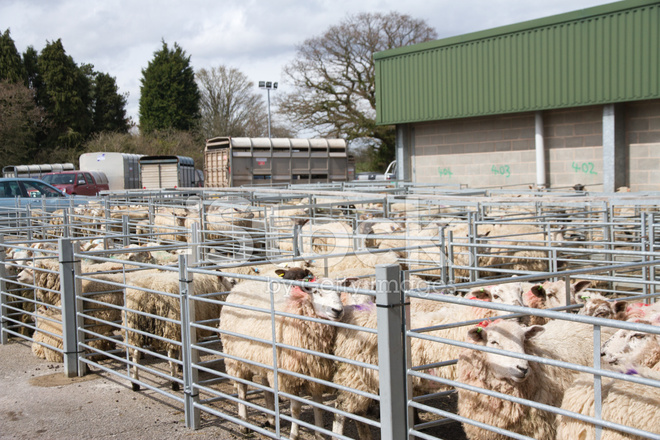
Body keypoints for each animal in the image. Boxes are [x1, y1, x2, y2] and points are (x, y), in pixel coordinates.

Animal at [220, 274, 346, 438]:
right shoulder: (290, 377)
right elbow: (295, 409)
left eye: (340, 293)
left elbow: (318, 406)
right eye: (316, 292)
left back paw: (272, 419)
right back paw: (243, 423)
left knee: (266, 388)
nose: (337, 310)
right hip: (235, 358)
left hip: (264, 359)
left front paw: (320, 434)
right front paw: (294, 435)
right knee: (242, 388)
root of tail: (240, 285)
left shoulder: (316, 374)